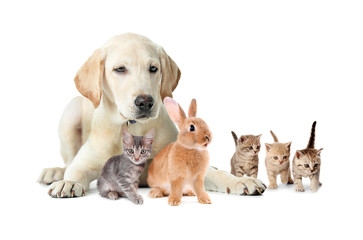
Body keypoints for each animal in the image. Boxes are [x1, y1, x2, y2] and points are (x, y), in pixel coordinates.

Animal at [38, 32, 266, 198]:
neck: (134, 125)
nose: (145, 102)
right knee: (68, 160)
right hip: (70, 114)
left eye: (153, 68)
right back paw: (55, 172)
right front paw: (68, 183)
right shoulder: (87, 161)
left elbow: (216, 173)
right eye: (120, 69)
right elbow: (76, 169)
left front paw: (241, 180)